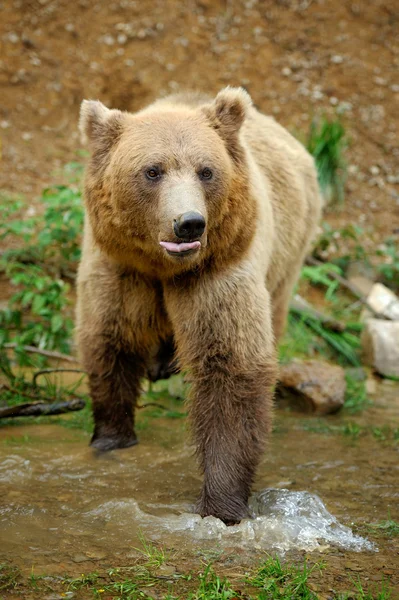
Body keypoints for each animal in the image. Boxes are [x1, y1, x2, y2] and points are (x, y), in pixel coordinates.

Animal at [76, 88, 324, 524]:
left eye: (206, 171)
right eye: (152, 171)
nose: (188, 222)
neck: (163, 266)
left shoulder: (219, 267)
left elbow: (230, 363)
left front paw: (222, 503)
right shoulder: (120, 266)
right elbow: (110, 335)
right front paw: (110, 434)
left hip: (289, 251)